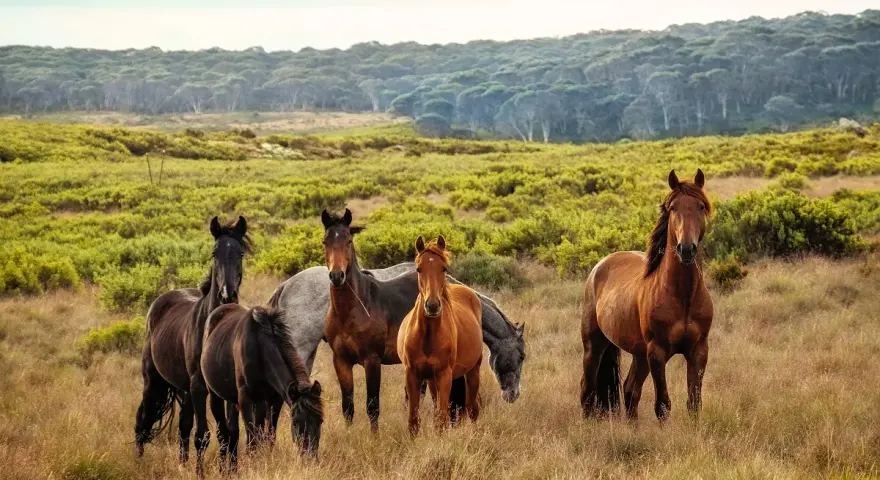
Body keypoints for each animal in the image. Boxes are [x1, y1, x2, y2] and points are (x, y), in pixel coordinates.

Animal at [134, 216, 250, 477]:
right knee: (142, 420)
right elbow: (204, 435)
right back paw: (138, 462)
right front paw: (201, 474)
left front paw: (230, 470)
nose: (228, 295)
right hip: (154, 382)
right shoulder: (199, 387)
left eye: (240, 253)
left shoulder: (226, 389)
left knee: (183, 427)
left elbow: (230, 432)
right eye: (214, 252)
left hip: (184, 389)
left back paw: (181, 465)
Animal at [200, 304, 323, 468]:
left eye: (320, 421)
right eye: (296, 423)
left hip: (250, 402)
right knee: (223, 434)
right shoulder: (245, 398)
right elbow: (252, 438)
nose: (310, 459)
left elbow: (269, 435)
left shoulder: (275, 399)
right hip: (216, 396)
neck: (260, 349)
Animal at [398, 236, 483, 434]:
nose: (432, 305)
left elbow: (441, 420)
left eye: (443, 268)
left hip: (473, 371)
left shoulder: (444, 375)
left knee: (472, 409)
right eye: (419, 269)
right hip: (431, 379)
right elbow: (414, 420)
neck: (428, 336)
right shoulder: (412, 374)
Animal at [580, 169, 713, 421]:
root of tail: (600, 266)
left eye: (700, 206)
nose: (686, 249)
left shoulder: (698, 350)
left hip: (639, 354)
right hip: (594, 345)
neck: (683, 296)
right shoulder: (657, 353)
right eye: (673, 208)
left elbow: (694, 403)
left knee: (630, 390)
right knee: (587, 390)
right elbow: (663, 405)